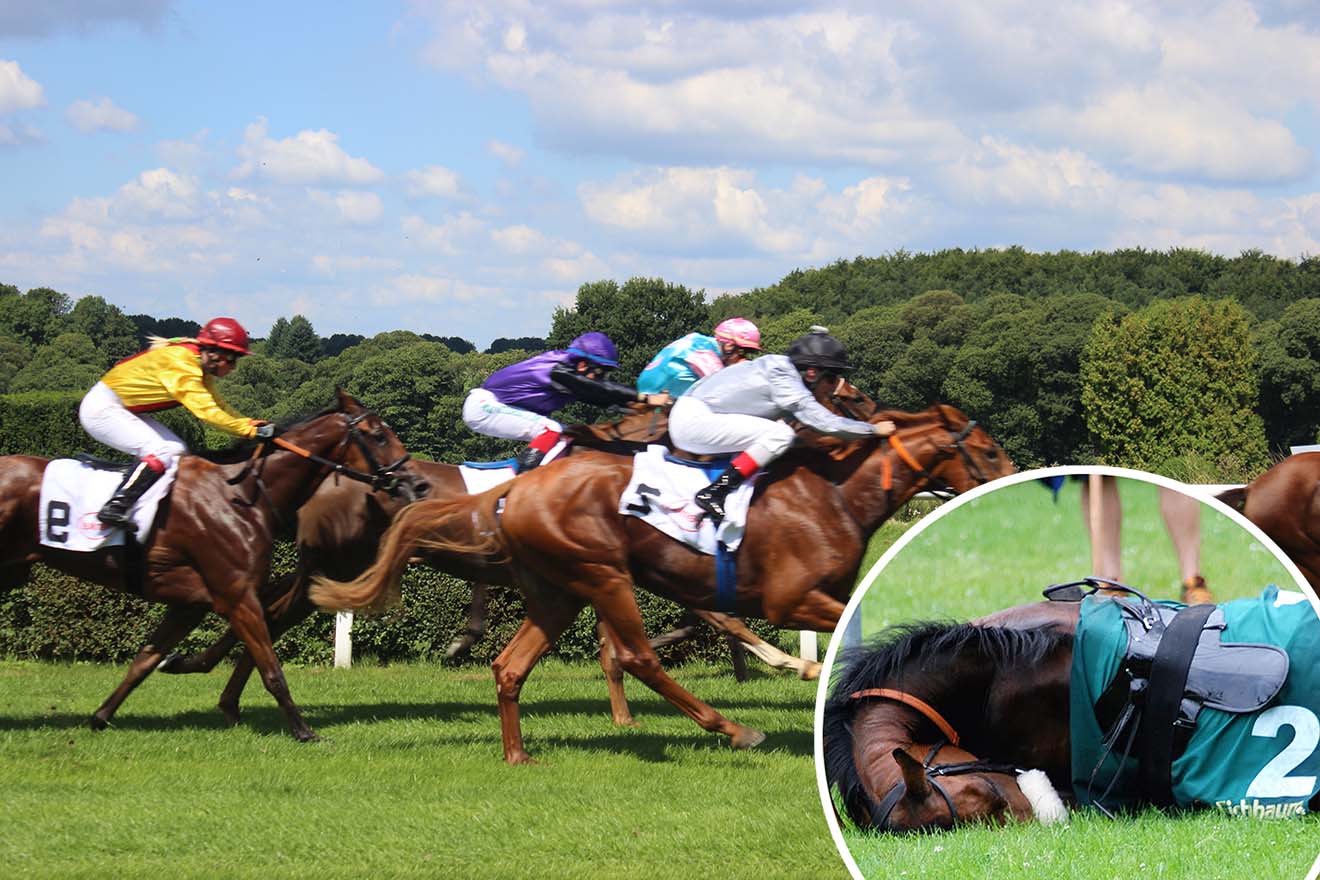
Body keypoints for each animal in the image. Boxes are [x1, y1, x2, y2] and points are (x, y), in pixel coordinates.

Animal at [0, 390, 421, 741]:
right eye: (379, 436)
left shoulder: (191, 602)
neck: (241, 497)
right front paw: (304, 731)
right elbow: (272, 669)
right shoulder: (236, 596)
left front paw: (102, 716)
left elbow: (145, 660)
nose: (415, 483)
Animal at [311, 402, 1014, 763]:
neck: (833, 493)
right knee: (636, 655)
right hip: (601, 574)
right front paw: (805, 672)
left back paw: (517, 752)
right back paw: (732, 729)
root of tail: (516, 490)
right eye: (988, 449)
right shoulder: (788, 598)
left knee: (511, 665)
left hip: (559, 590)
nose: (1008, 481)